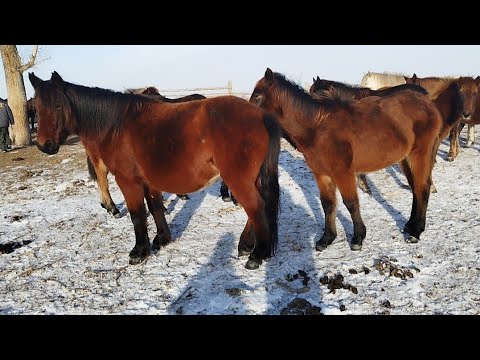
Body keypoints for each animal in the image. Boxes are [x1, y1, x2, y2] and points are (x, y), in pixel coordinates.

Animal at [30, 71, 282, 270]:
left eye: (58, 105)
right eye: (36, 108)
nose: (45, 146)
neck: (115, 125)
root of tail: (261, 115)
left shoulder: (127, 180)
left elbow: (137, 214)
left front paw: (139, 251)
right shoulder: (148, 180)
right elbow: (155, 208)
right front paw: (162, 239)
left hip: (238, 179)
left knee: (255, 208)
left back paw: (256, 255)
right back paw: (246, 246)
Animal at [251, 69, 442, 252]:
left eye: (258, 96)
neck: (317, 128)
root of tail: (428, 103)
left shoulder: (343, 173)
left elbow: (351, 203)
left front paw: (358, 238)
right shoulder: (322, 174)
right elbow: (328, 204)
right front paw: (326, 239)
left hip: (420, 155)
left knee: (422, 188)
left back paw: (416, 231)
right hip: (405, 159)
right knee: (415, 188)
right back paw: (410, 225)